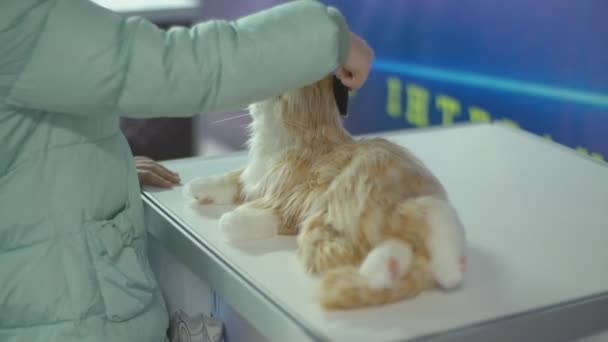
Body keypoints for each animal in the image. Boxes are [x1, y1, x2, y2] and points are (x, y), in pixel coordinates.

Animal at [184, 75, 466, 310]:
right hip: (341, 229)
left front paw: (233, 220)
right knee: (399, 243)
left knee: (430, 214)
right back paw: (383, 272)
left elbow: (267, 212)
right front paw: (200, 186)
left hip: (352, 204)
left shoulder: (292, 195)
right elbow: (233, 178)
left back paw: (448, 267)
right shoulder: (256, 177)